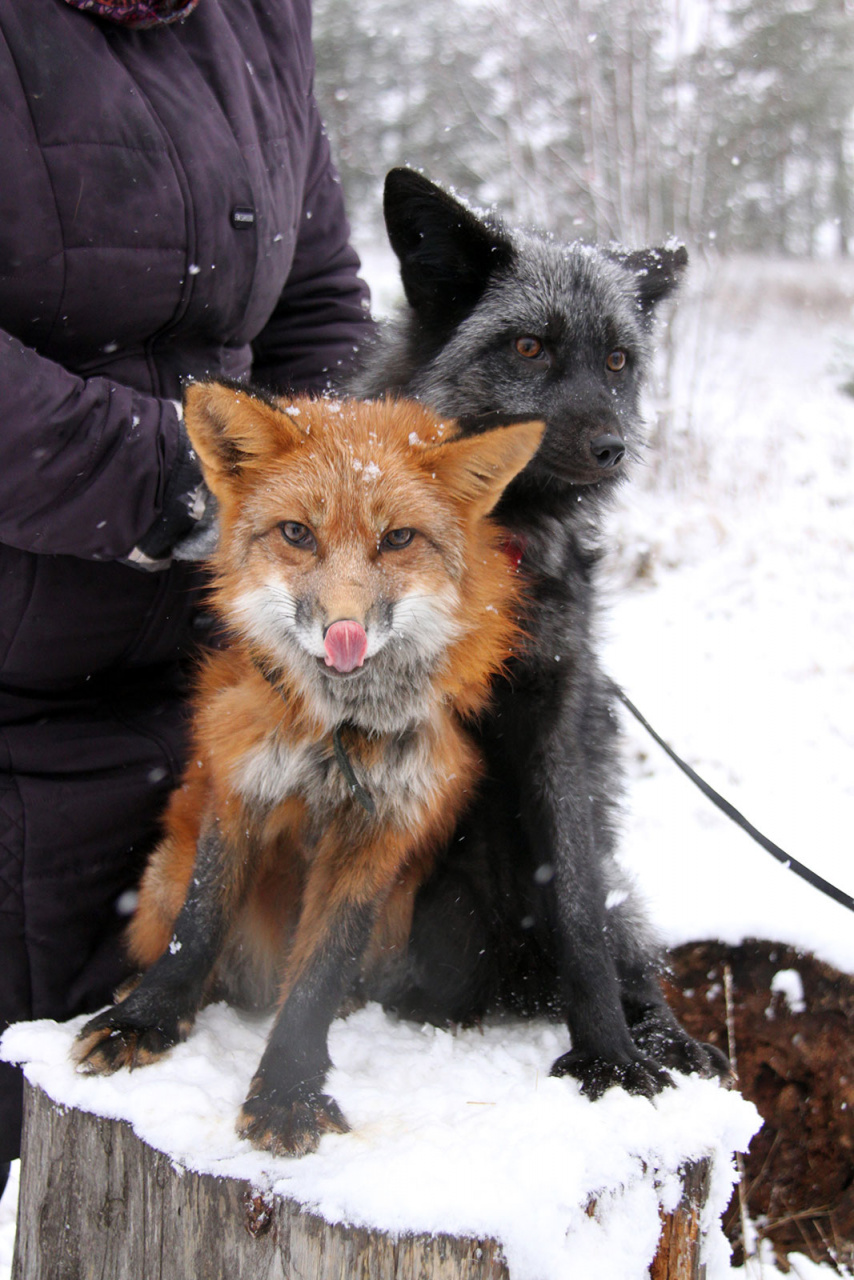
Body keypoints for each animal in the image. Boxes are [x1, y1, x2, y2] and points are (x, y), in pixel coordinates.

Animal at [73, 384, 540, 1157]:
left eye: (398, 539)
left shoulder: (381, 828)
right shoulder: (242, 785)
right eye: (296, 533)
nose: (343, 632)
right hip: (163, 869)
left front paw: (287, 1091)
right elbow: (199, 923)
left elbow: (321, 969)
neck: (336, 735)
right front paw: (149, 1018)